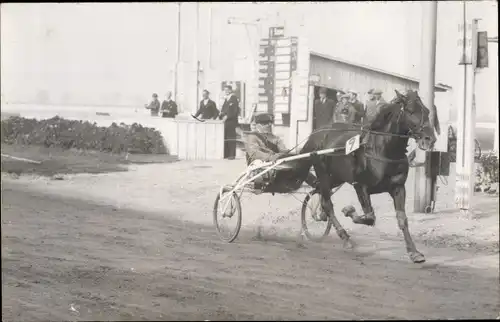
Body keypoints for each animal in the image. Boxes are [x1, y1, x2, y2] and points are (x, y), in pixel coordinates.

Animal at [270, 89, 438, 262]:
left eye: (427, 111)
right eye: (411, 111)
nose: (429, 139)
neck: (382, 149)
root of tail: (317, 133)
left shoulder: (397, 187)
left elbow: (402, 219)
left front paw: (414, 252)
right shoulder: (360, 185)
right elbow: (369, 217)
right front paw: (348, 210)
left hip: (336, 177)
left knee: (321, 194)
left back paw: (321, 215)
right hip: (323, 172)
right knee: (327, 203)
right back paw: (344, 237)